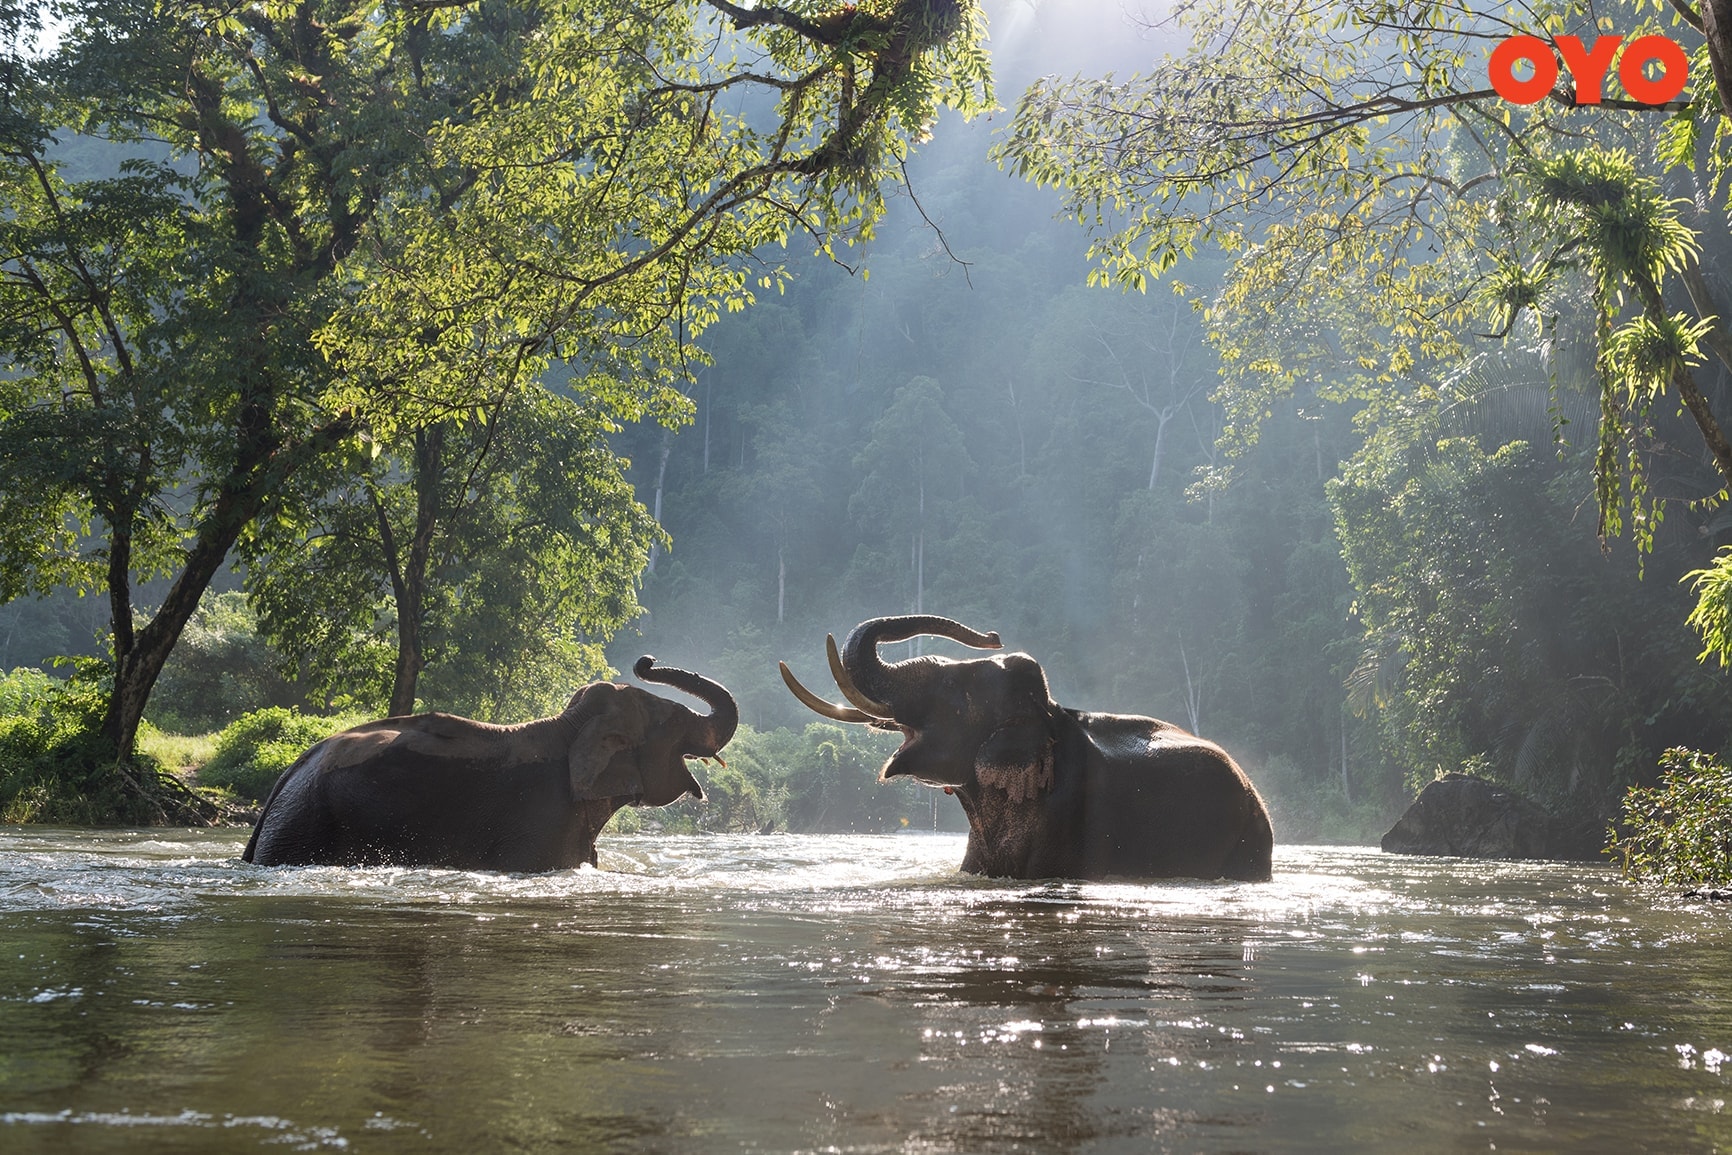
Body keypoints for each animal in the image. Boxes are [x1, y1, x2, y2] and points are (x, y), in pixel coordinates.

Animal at [240, 658, 734, 865]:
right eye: (672, 720)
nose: (645, 660)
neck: (569, 726)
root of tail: (288, 774)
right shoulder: (541, 819)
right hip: (304, 825)